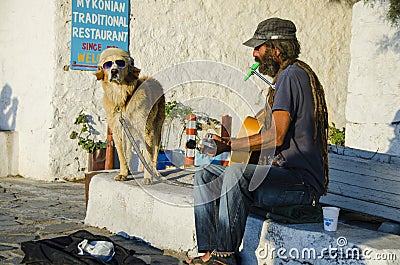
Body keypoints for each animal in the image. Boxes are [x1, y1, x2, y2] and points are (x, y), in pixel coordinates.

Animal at [94, 47, 165, 184]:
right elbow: (122, 156)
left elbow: (148, 154)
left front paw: (148, 177)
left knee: (154, 153)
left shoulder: (146, 129)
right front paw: (123, 174)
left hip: (157, 128)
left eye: (121, 63)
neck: (122, 97)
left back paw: (156, 172)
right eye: (107, 64)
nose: (114, 71)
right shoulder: (118, 131)